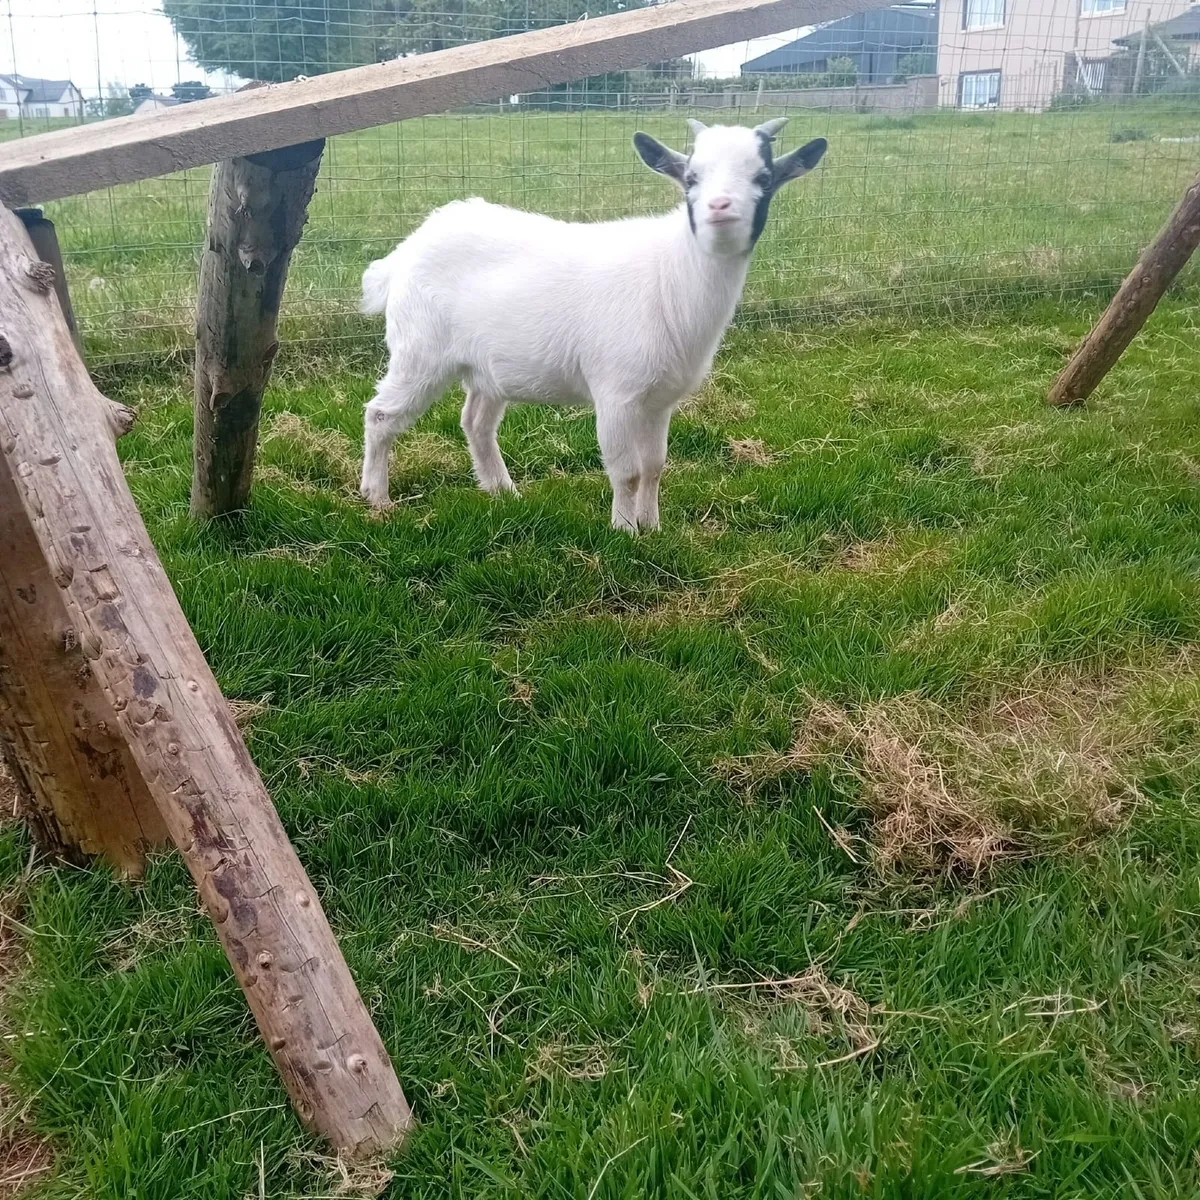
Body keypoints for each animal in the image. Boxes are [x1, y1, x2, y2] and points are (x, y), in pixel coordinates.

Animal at [359, 118, 827, 531]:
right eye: (692, 177)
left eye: (763, 177)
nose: (720, 207)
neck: (670, 274)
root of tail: (405, 252)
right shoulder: (616, 393)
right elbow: (627, 471)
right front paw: (624, 531)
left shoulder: (660, 401)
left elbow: (655, 466)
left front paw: (653, 527)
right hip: (420, 350)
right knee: (381, 414)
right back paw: (377, 498)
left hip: (485, 366)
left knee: (476, 421)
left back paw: (503, 492)